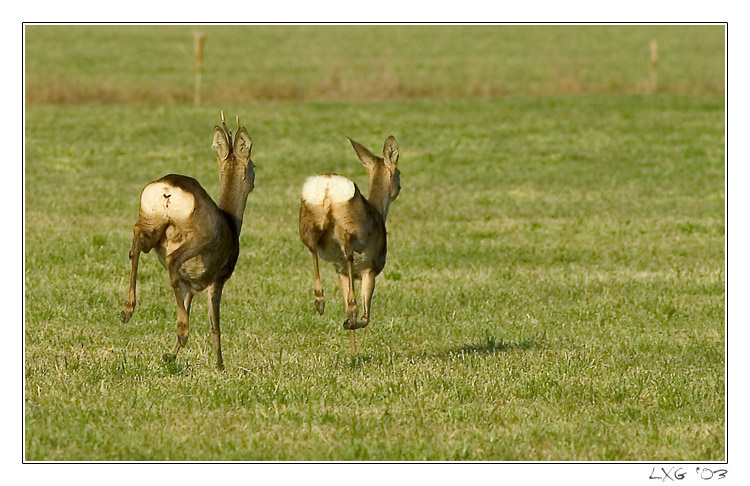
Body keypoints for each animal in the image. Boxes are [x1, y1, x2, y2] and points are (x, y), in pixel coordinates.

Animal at [120, 115, 256, 372]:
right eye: (254, 166)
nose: (253, 180)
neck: (232, 223)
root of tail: (167, 190)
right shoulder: (217, 278)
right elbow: (215, 326)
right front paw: (220, 365)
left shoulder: (191, 283)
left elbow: (188, 305)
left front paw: (169, 355)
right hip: (197, 236)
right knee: (171, 259)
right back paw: (182, 330)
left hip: (150, 220)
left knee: (135, 246)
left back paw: (127, 310)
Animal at [300, 136, 402, 354]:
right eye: (399, 173)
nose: (399, 188)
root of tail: (328, 185)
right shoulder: (371, 268)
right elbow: (366, 315)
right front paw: (352, 324)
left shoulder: (341, 273)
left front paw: (353, 351)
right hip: (350, 227)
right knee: (347, 252)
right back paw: (343, 309)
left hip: (306, 220)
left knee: (313, 247)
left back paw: (319, 300)